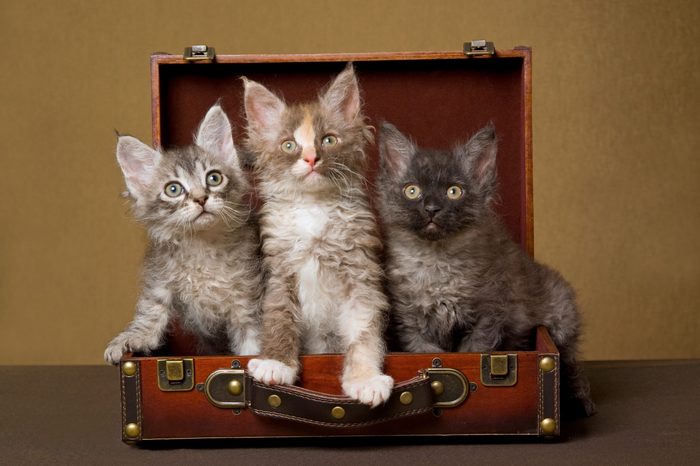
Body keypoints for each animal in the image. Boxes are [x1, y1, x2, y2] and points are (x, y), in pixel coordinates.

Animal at [105, 104, 264, 362]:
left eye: (214, 178)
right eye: (173, 189)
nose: (201, 198)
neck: (202, 245)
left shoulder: (248, 299)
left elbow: (252, 343)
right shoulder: (160, 276)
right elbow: (150, 310)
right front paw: (129, 338)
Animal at [242, 63, 394, 406]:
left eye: (328, 140)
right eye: (289, 145)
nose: (311, 158)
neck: (314, 208)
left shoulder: (360, 271)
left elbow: (364, 330)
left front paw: (365, 379)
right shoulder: (279, 270)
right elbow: (279, 317)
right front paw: (276, 364)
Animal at [378, 120, 596, 416]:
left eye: (454, 191)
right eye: (412, 191)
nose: (432, 208)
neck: (437, 263)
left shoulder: (487, 316)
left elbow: (473, 350)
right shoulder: (411, 325)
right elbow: (424, 350)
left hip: (561, 321)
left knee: (572, 367)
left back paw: (582, 403)